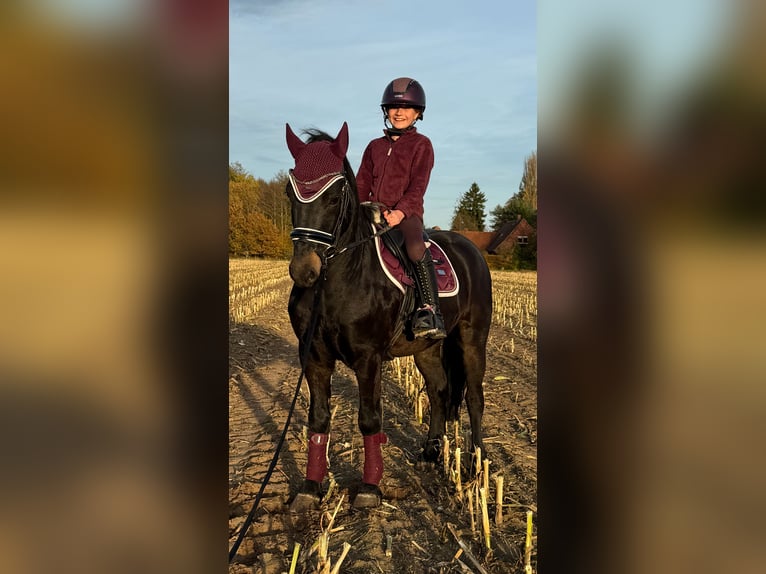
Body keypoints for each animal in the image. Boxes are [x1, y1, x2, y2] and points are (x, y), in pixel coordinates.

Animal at [285, 122, 492, 510]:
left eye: (334, 197)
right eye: (290, 193)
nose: (304, 270)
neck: (338, 281)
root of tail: (470, 248)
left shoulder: (368, 359)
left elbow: (370, 420)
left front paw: (369, 488)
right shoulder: (314, 357)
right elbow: (318, 420)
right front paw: (310, 487)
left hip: (473, 340)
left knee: (473, 397)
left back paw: (476, 464)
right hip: (427, 349)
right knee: (439, 390)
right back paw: (431, 452)